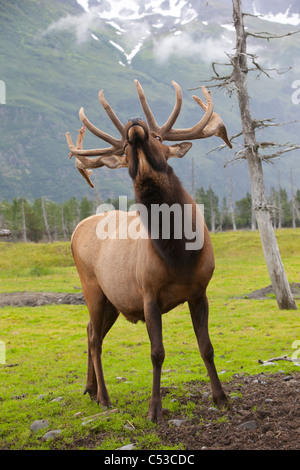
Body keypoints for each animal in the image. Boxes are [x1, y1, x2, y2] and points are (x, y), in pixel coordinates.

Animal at [67, 80, 232, 422]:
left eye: (158, 138)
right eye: (124, 150)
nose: (134, 122)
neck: (180, 255)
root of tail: (75, 230)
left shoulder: (200, 291)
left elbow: (207, 347)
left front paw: (221, 398)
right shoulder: (148, 294)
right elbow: (157, 353)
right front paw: (154, 409)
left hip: (112, 300)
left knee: (90, 331)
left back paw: (90, 389)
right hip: (91, 287)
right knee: (94, 339)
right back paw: (104, 397)